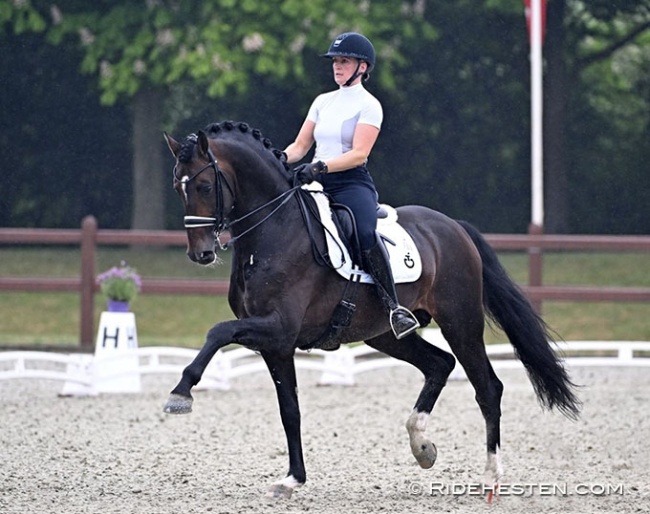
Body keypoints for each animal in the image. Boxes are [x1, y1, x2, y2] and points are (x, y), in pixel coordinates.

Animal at [161, 119, 576, 496]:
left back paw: (490, 476)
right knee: (439, 364)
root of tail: (453, 227)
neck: (275, 231)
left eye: (204, 185)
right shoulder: (275, 344)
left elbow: (217, 331)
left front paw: (180, 394)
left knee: (487, 387)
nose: (201, 253)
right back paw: (422, 446)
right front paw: (293, 478)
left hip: (461, 323)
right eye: (178, 187)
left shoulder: (278, 327)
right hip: (386, 334)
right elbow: (289, 410)